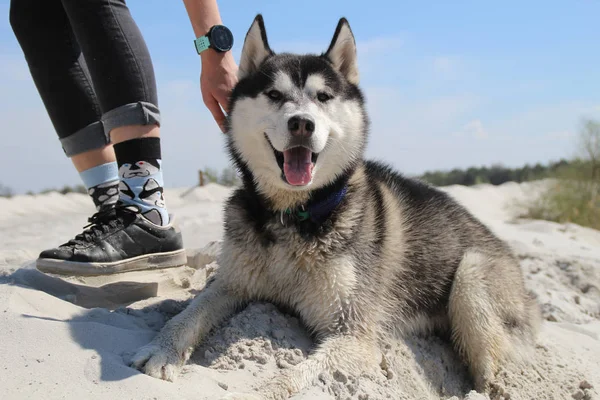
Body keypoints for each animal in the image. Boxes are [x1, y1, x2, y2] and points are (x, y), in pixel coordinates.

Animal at [132, 14, 544, 398]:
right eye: (274, 95)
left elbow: (293, 376)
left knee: (492, 373)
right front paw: (162, 349)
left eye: (324, 97)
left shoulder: (354, 334)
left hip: (471, 276)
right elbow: (188, 314)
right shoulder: (232, 283)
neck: (293, 217)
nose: (302, 123)